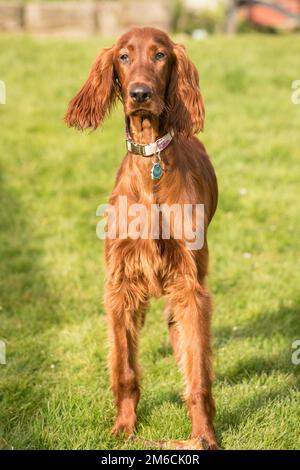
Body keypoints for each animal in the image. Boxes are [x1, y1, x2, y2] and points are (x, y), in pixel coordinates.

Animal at [65, 27, 218, 450]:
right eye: (124, 56)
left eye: (160, 55)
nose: (140, 94)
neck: (151, 162)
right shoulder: (121, 284)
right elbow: (125, 369)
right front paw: (123, 428)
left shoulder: (189, 283)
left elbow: (199, 374)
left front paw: (203, 435)